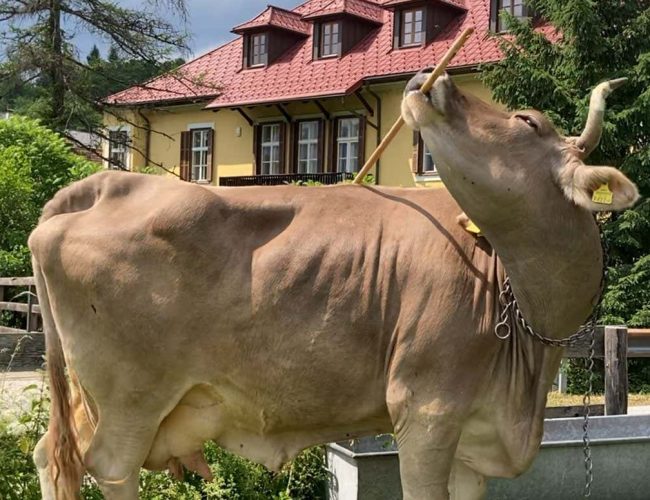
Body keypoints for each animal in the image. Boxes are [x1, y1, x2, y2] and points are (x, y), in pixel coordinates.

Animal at [29, 71, 638, 500]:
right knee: (110, 469)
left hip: (91, 398)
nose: (432, 80)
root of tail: (104, 184)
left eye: (527, 122)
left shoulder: (475, 438)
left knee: (54, 458)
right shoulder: (426, 409)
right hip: (131, 399)